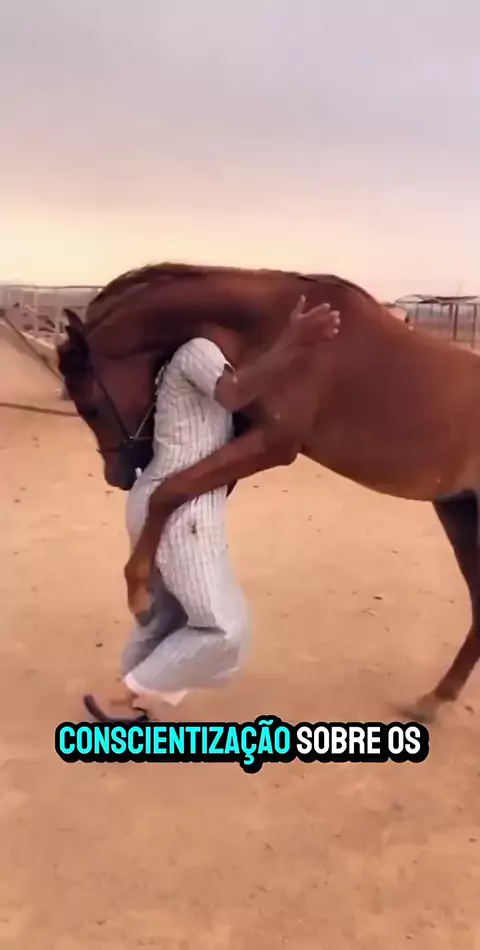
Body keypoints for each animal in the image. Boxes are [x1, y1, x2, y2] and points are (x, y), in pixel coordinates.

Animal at [57, 261, 480, 723]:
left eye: (91, 407)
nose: (116, 476)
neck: (269, 326)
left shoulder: (274, 444)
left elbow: (169, 490)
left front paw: (139, 593)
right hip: (459, 512)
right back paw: (434, 699)